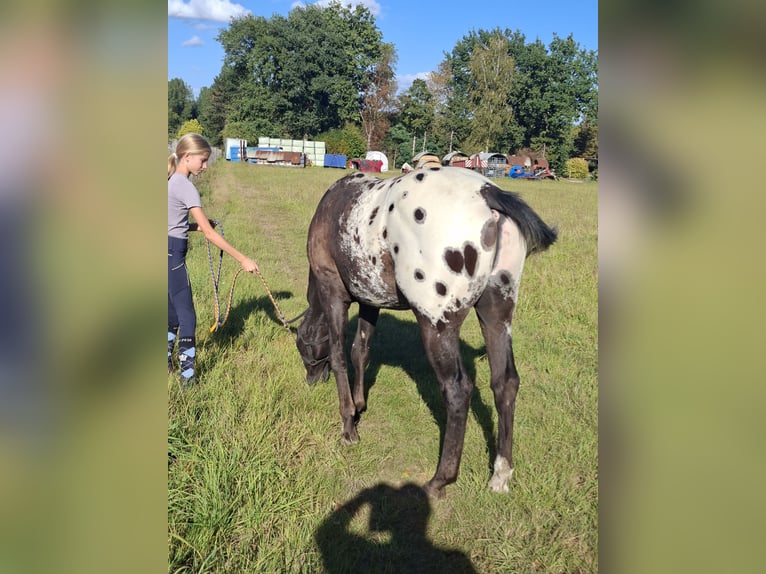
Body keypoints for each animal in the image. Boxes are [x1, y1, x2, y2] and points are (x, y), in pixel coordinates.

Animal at [296, 166, 557, 498]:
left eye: (302, 347)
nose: (311, 380)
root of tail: (488, 192)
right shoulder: (370, 300)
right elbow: (360, 352)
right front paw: (359, 405)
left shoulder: (333, 294)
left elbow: (341, 357)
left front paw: (348, 427)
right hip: (496, 316)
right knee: (505, 383)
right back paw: (500, 474)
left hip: (436, 324)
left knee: (458, 390)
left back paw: (440, 480)